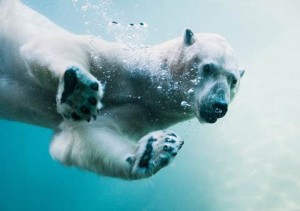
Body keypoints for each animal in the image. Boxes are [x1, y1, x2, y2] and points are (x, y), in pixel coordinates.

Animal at [0, 0, 244, 180]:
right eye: (208, 67)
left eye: (233, 80)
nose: (219, 105)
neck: (145, 86)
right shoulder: (118, 61)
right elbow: (56, 44)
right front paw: (79, 90)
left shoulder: (147, 112)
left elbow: (82, 135)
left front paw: (155, 151)